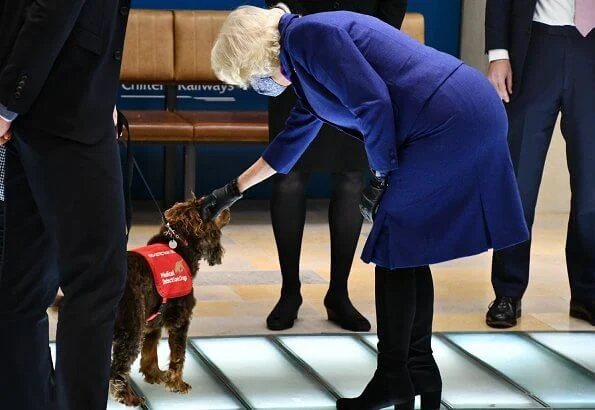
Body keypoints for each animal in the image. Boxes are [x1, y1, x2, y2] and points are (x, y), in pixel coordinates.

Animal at [57, 196, 230, 406]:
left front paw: (154, 375)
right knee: (118, 368)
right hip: (130, 330)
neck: (179, 246)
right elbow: (178, 356)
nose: (228, 209)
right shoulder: (180, 321)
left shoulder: (152, 322)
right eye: (211, 208)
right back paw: (126, 396)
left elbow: (150, 352)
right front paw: (177, 384)